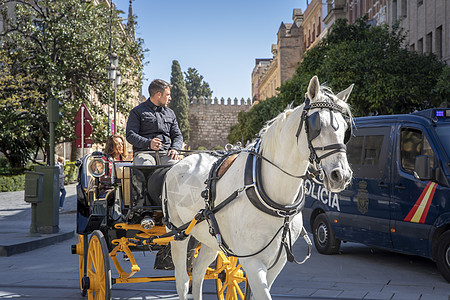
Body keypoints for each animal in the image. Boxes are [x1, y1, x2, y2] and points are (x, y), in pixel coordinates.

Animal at [163, 77, 354, 300]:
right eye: (316, 125)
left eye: (345, 129)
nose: (341, 175)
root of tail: (178, 163)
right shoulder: (252, 262)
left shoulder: (277, 262)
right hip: (178, 233)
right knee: (183, 280)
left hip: (210, 238)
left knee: (199, 270)